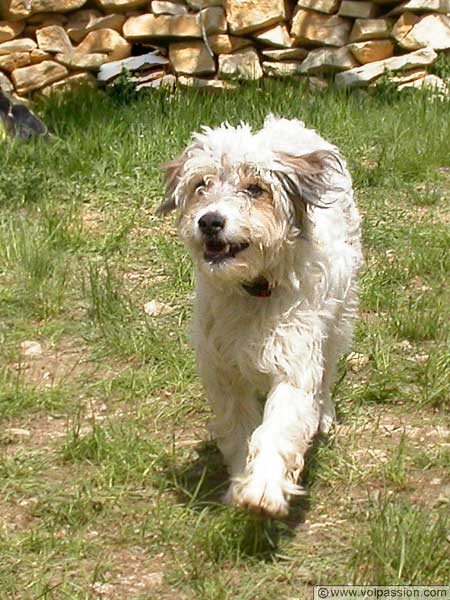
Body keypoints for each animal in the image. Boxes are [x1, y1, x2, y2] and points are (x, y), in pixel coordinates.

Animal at [158, 115, 362, 516]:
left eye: (256, 189)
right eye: (200, 185)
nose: (209, 221)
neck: (253, 290)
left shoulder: (293, 362)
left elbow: (276, 429)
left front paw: (264, 486)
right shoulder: (223, 373)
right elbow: (240, 431)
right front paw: (241, 481)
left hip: (339, 319)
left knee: (327, 372)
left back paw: (324, 414)